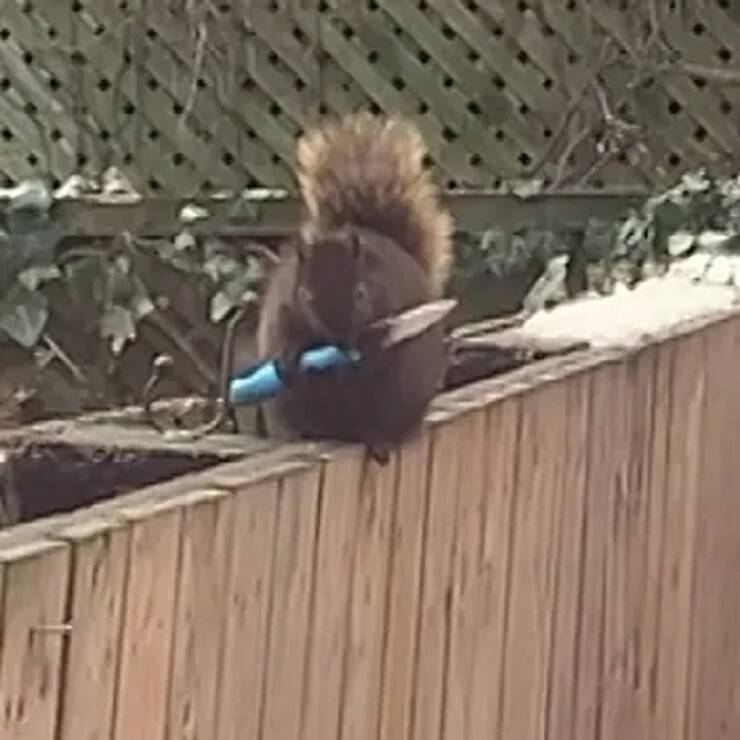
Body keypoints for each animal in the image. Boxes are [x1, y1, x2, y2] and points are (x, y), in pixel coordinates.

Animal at [255, 112, 454, 463]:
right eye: (306, 296)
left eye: (360, 294)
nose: (341, 340)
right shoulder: (283, 310)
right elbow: (283, 339)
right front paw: (291, 359)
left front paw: (356, 361)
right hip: (288, 409)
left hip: (395, 400)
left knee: (379, 424)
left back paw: (379, 442)